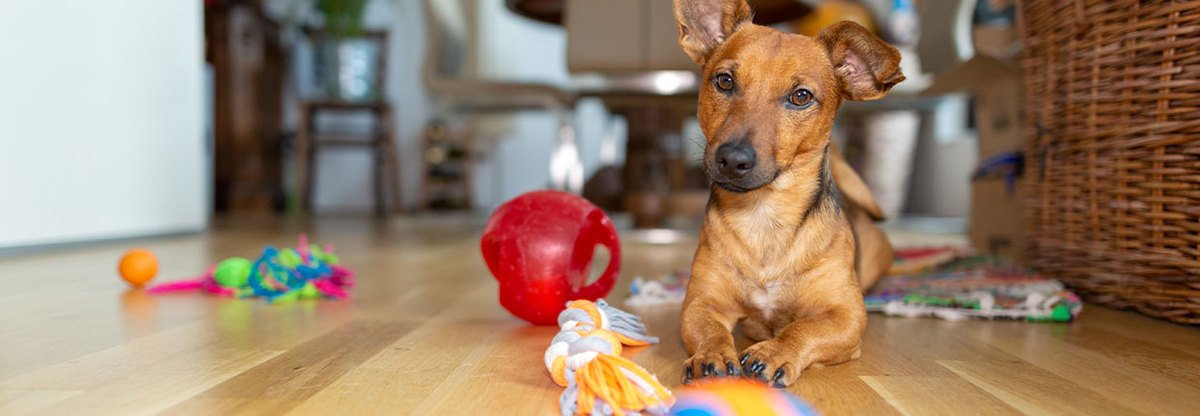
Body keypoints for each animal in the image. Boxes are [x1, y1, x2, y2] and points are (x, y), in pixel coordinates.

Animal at [676, 0, 902, 388]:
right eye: (724, 81)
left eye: (801, 97)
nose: (732, 159)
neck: (764, 216)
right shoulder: (701, 304)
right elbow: (710, 330)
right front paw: (712, 354)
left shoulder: (847, 316)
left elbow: (803, 329)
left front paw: (775, 351)